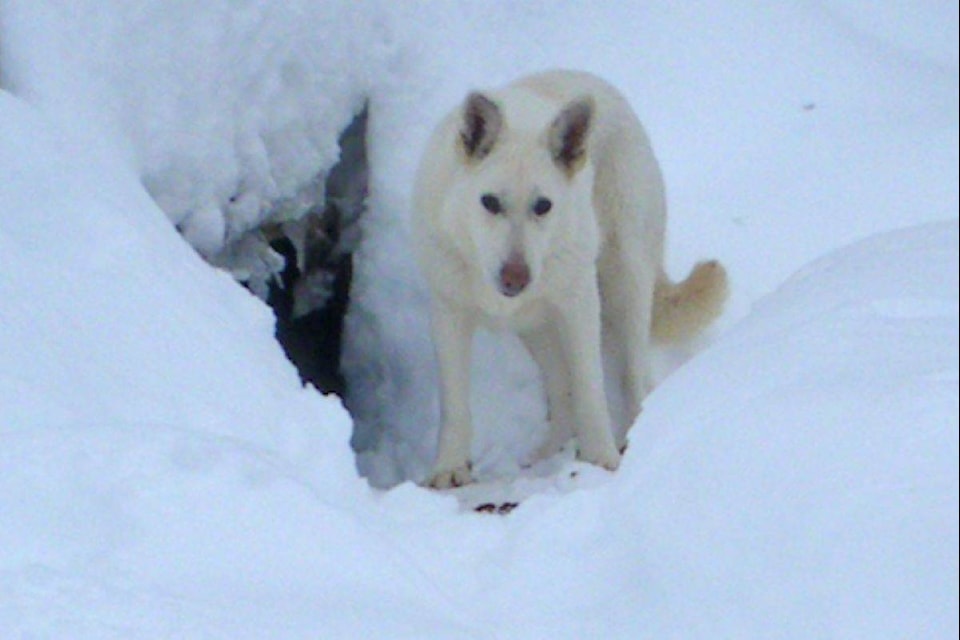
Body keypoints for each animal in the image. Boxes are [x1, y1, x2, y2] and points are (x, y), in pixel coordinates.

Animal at [414, 70, 728, 488]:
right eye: (489, 202)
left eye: (543, 206)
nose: (515, 278)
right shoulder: (449, 313)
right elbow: (455, 405)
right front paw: (449, 469)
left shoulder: (580, 305)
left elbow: (590, 392)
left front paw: (601, 459)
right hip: (535, 328)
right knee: (561, 391)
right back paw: (547, 455)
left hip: (623, 284)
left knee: (634, 381)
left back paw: (631, 440)